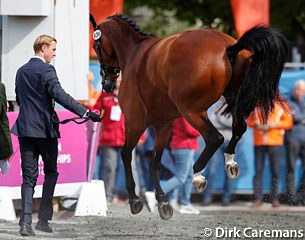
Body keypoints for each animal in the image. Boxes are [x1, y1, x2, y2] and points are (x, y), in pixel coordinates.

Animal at [89, 12, 288, 219]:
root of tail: (228, 47)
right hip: (232, 100)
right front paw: (162, 203)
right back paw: (230, 162)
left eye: (95, 46)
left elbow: (126, 154)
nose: (107, 83)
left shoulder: (134, 123)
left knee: (215, 138)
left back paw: (198, 174)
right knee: (238, 129)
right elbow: (155, 162)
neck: (135, 52)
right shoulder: (163, 125)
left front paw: (135, 200)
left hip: (192, 111)